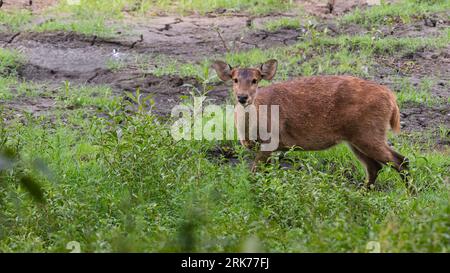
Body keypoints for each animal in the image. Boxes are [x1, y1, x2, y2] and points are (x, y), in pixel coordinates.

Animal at [211, 58, 414, 192]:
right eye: (235, 79)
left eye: (255, 80)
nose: (242, 97)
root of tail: (391, 98)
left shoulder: (270, 142)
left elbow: (255, 173)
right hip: (356, 138)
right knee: (375, 167)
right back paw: (363, 194)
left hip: (369, 133)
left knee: (400, 160)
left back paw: (411, 196)